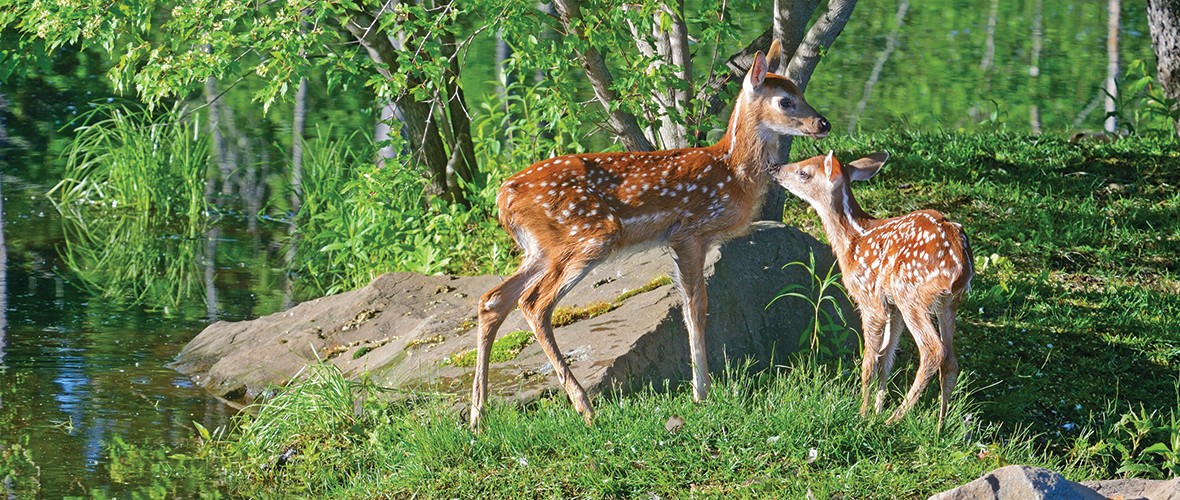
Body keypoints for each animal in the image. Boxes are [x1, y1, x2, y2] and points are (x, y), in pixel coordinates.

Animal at [469, 40, 831, 430]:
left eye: (801, 91)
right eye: (786, 101)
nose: (823, 123)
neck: (733, 172)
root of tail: (502, 197)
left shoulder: (684, 239)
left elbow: (691, 305)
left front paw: (701, 388)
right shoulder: (689, 231)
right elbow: (696, 307)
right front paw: (701, 393)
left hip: (541, 248)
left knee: (493, 299)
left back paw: (478, 417)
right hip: (588, 235)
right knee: (534, 303)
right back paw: (585, 408)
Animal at [770, 151, 974, 430]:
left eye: (804, 172)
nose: (774, 168)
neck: (852, 240)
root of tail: (960, 262)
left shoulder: (869, 299)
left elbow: (869, 359)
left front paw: (863, 413)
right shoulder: (892, 307)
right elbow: (886, 357)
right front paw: (876, 408)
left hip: (909, 291)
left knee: (933, 351)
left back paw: (895, 417)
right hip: (948, 303)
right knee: (951, 360)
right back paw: (939, 426)